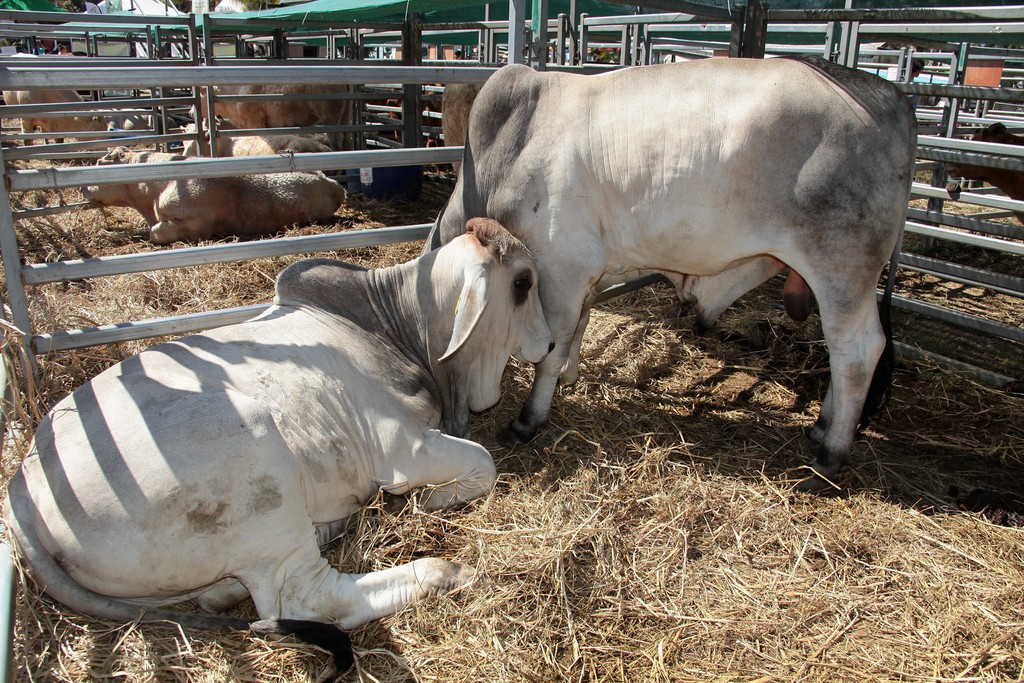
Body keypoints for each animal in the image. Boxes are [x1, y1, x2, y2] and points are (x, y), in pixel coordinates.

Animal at [3, 217, 553, 674]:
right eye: (523, 283)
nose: (550, 344)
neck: (397, 329)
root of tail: (23, 486)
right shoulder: (402, 447)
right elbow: (482, 463)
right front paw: (432, 499)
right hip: (258, 460)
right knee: (311, 600)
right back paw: (443, 571)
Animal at [428, 56, 917, 491]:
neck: (507, 149)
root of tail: (894, 97)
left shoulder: (562, 270)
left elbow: (549, 351)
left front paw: (528, 419)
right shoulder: (586, 277)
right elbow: (578, 329)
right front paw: (569, 378)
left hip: (841, 267)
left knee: (857, 351)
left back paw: (829, 457)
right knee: (843, 354)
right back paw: (822, 426)